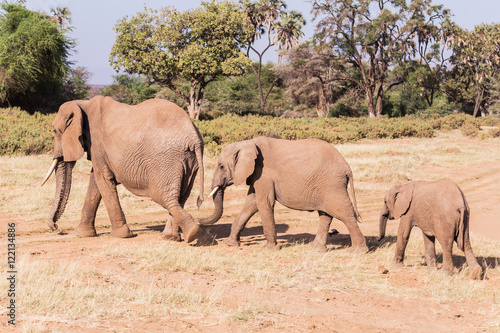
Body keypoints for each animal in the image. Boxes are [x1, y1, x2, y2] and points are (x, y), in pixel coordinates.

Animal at [41, 94, 204, 243]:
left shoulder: (97, 142)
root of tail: (193, 136)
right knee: (181, 196)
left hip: (166, 160)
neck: (83, 104)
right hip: (188, 159)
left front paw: (120, 235)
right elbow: (96, 181)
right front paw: (82, 234)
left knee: (163, 196)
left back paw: (191, 233)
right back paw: (171, 237)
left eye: (54, 130)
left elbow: (103, 180)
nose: (55, 227)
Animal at [198, 136, 368, 252]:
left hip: (332, 185)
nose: (199, 218)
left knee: (344, 213)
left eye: (221, 166)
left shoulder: (264, 173)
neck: (248, 143)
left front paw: (268, 249)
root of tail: (347, 167)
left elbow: (264, 203)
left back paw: (358, 252)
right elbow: (251, 204)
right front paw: (230, 244)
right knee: (325, 215)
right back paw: (316, 250)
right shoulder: (257, 176)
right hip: (326, 186)